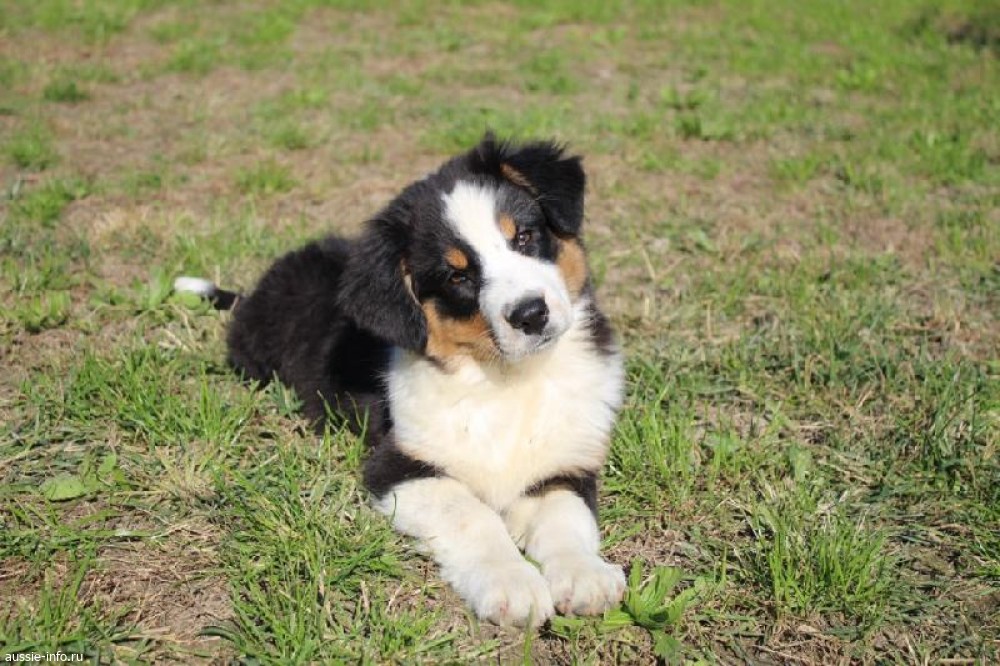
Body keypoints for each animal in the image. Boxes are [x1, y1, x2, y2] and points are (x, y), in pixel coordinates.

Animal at [176, 135, 625, 627]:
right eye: (457, 275)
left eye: (524, 236)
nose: (531, 314)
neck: (505, 379)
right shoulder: (399, 465)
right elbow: (471, 513)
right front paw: (512, 584)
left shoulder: (564, 464)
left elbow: (566, 518)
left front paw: (584, 575)